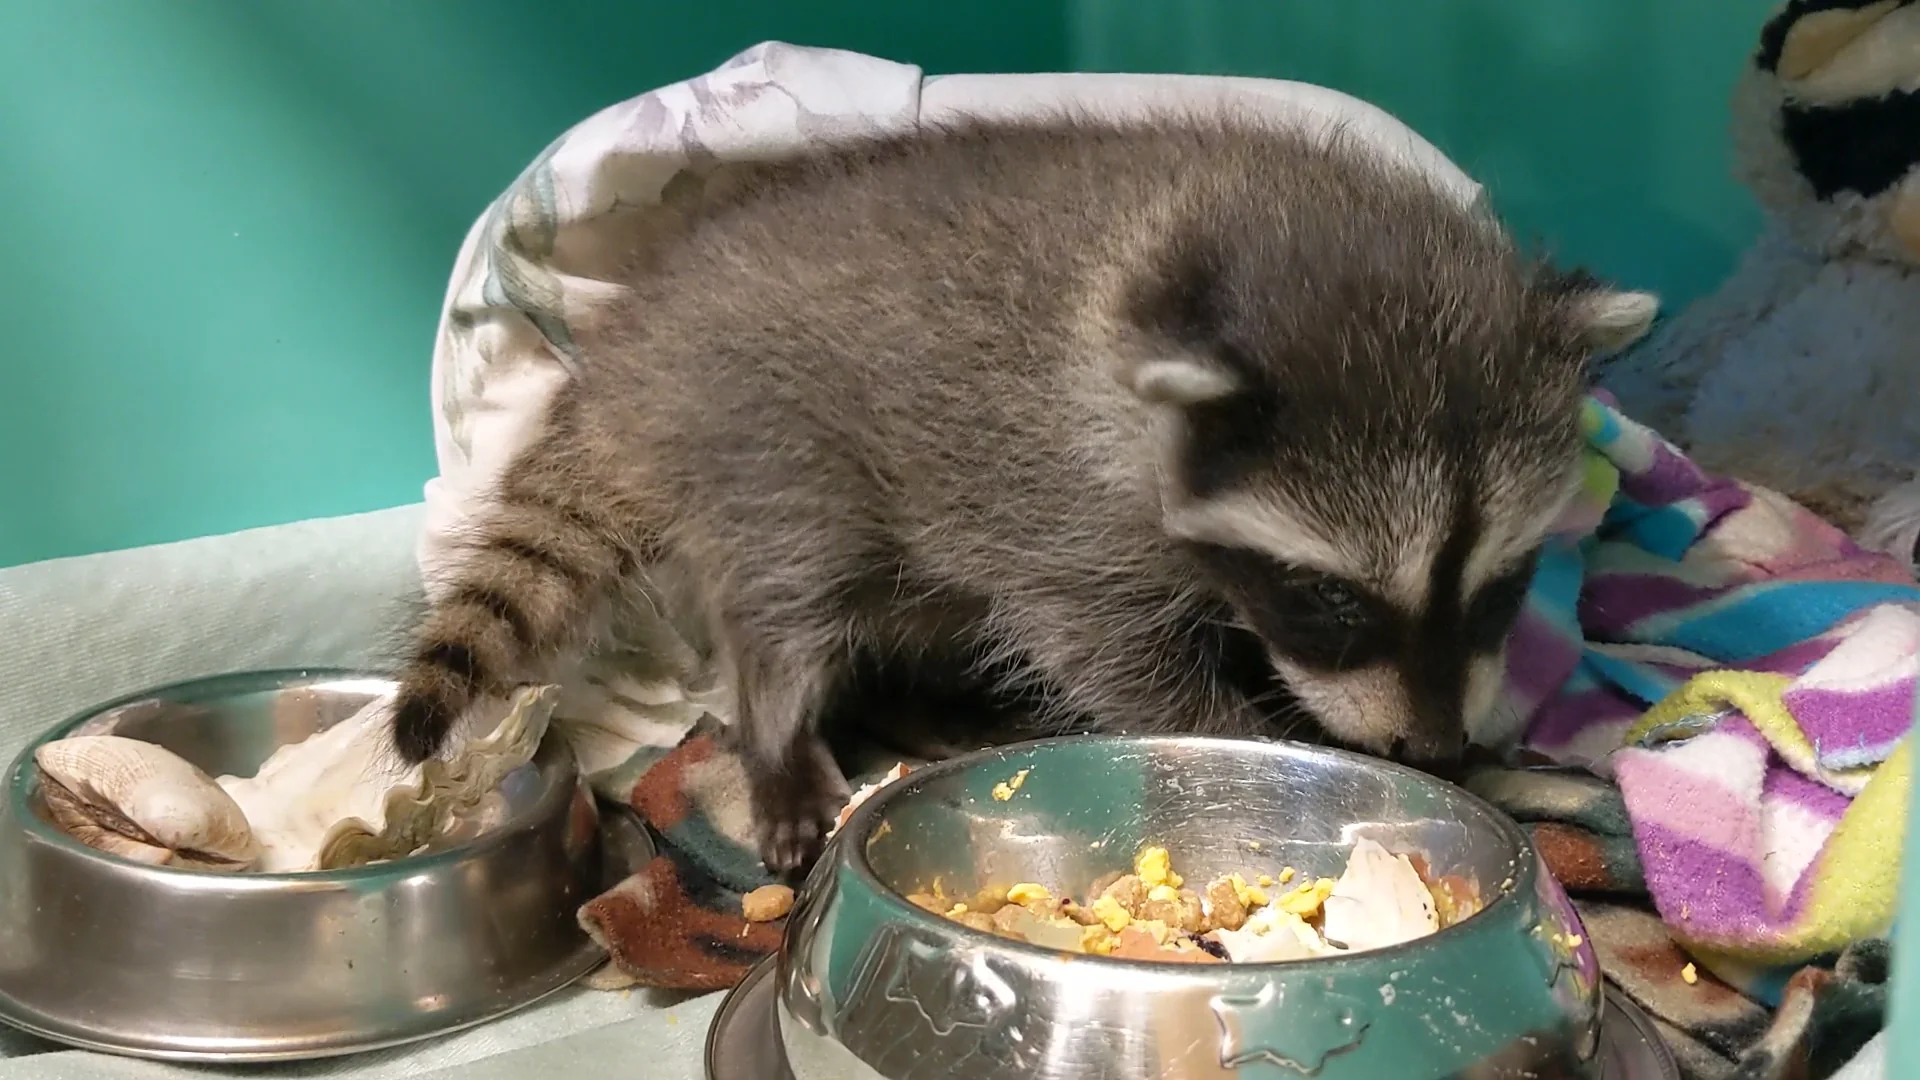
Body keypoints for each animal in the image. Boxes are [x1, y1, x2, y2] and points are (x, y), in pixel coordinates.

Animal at [390, 114, 1656, 874]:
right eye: (1333, 599)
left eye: (1503, 584)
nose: (1437, 747)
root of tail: (637, 348)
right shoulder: (1066, 505)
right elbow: (1110, 657)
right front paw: (1252, 734)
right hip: (763, 433)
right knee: (789, 589)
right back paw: (777, 727)